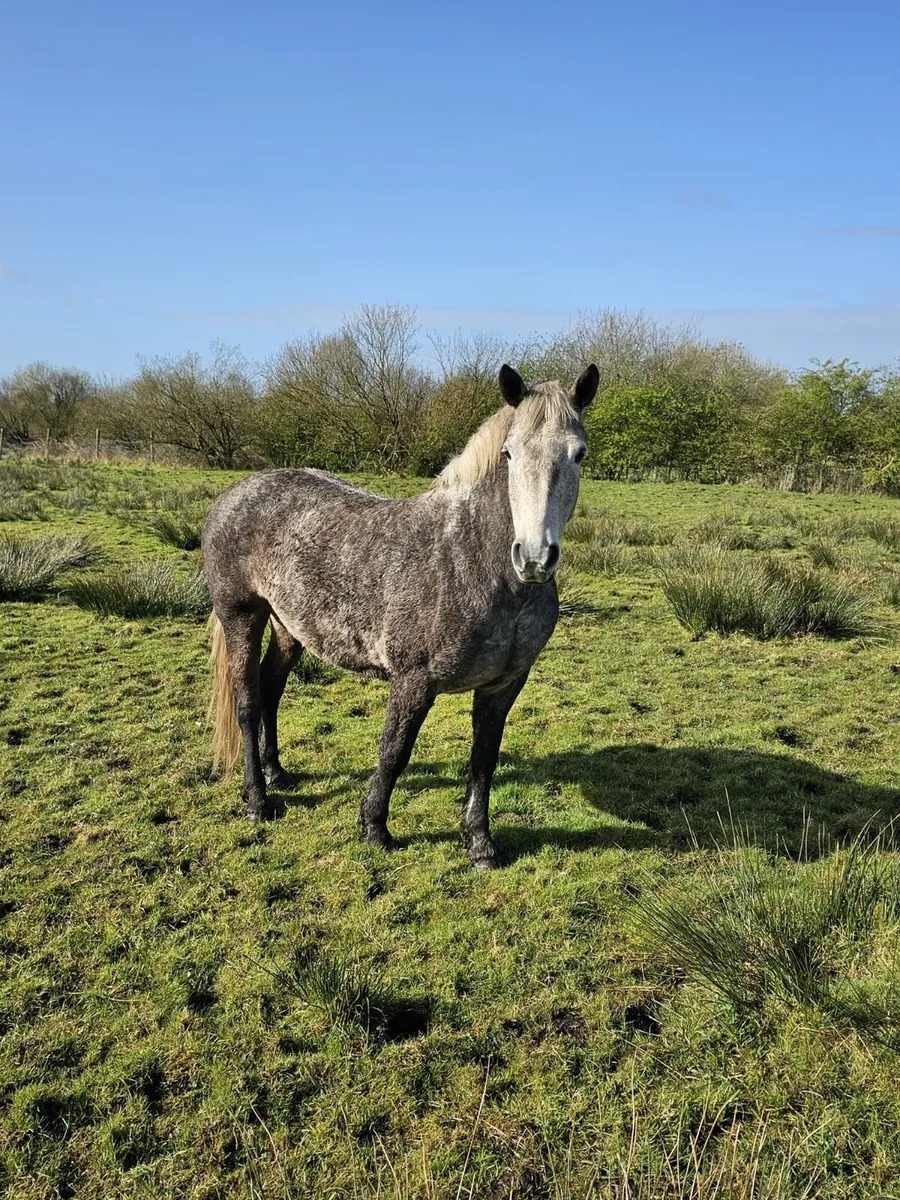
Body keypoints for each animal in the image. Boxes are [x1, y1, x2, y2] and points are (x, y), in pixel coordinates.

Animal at [202, 362, 599, 868]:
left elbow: (484, 759)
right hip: (242, 617)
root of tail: (235, 493)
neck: (471, 559)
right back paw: (258, 800)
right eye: (509, 453)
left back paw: (277, 775)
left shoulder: (503, 685)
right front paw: (375, 828)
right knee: (249, 702)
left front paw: (480, 843)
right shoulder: (414, 681)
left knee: (272, 691)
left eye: (578, 454)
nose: (533, 558)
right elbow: (395, 751)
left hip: (289, 627)